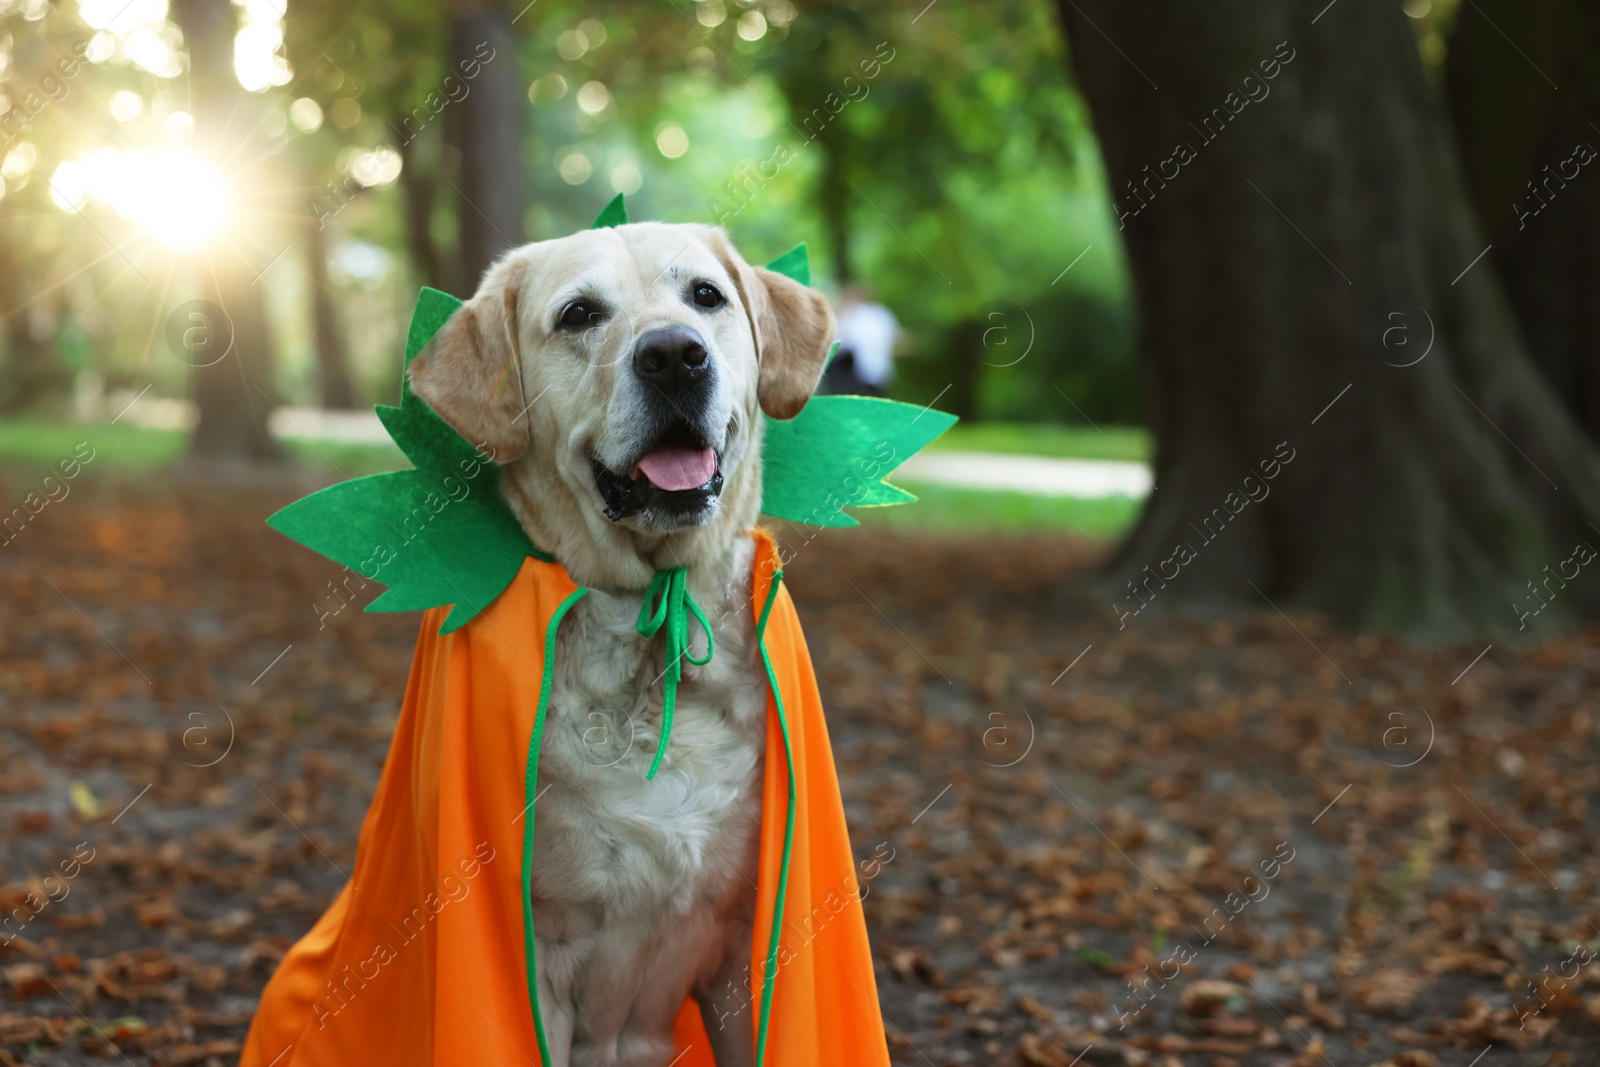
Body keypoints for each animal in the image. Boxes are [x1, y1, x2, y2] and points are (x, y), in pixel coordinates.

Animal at [406, 219, 838, 1067]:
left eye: (705, 296)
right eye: (579, 314)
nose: (674, 354)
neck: (653, 617)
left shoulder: (744, 951)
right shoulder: (541, 956)